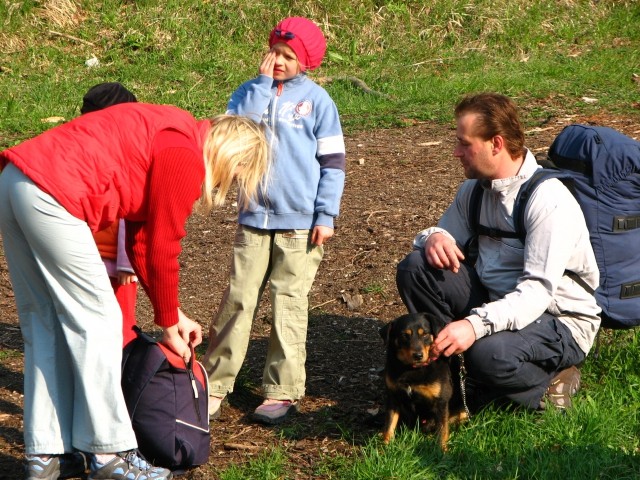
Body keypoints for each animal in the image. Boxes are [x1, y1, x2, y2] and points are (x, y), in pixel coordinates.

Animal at [380, 312, 464, 450]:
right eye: (404, 335)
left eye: (425, 334)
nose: (418, 355)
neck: (412, 369)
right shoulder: (393, 397)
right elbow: (389, 425)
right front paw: (385, 448)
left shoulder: (441, 401)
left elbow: (442, 430)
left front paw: (442, 451)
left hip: (462, 411)